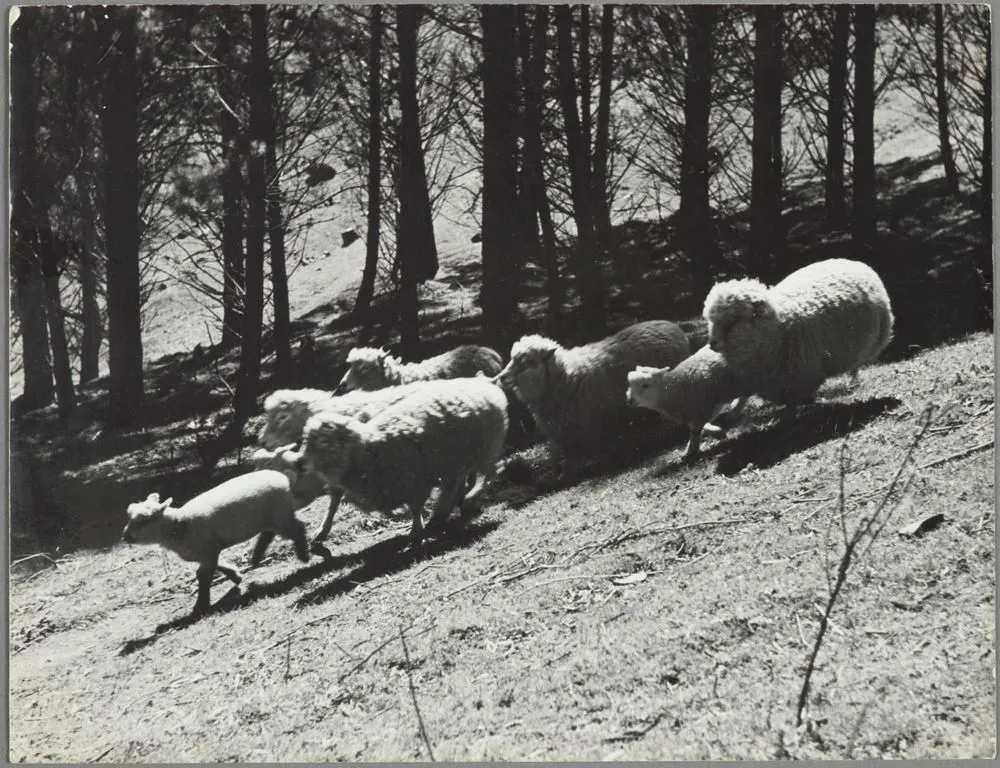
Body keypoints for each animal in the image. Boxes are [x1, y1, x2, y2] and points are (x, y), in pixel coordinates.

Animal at [121, 470, 310, 615]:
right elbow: (217, 565)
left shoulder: (208, 550)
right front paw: (235, 575)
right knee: (271, 532)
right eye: (129, 514)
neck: (180, 525)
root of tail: (283, 477)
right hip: (273, 517)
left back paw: (304, 555)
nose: (125, 536)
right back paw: (258, 554)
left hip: (280, 514)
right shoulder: (209, 551)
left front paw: (201, 606)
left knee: (298, 528)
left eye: (143, 521)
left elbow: (202, 575)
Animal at [285, 377, 509, 547]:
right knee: (461, 481)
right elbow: (334, 503)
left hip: (488, 447)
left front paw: (416, 531)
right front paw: (321, 532)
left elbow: (415, 508)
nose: (298, 463)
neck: (369, 450)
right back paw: (447, 510)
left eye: (324, 442)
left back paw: (468, 501)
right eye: (305, 440)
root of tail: (485, 382)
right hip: (458, 457)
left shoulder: (414, 482)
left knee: (491, 471)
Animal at [494, 320, 691, 476]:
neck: (565, 377)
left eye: (526, 362)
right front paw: (563, 475)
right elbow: (567, 455)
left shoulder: (595, 422)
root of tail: (673, 326)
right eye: (512, 359)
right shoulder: (563, 430)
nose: (501, 378)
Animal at [703, 258, 894, 406]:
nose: (712, 344)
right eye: (711, 320)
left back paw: (853, 382)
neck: (777, 328)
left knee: (856, 365)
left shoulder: (801, 376)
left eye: (733, 320)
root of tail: (852, 261)